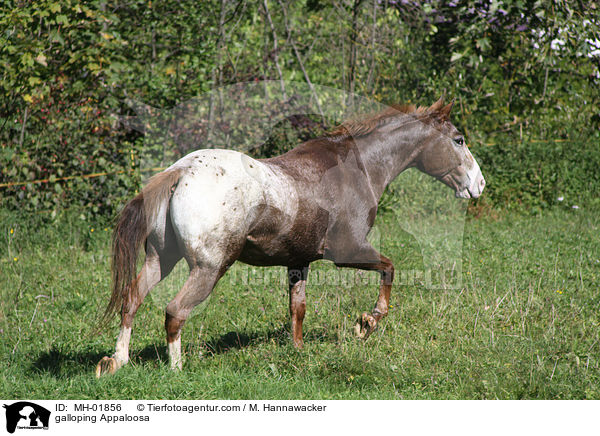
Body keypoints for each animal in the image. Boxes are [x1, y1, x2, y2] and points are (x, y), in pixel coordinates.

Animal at [96, 98, 486, 374]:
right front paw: (367, 322)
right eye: (458, 139)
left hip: (160, 259)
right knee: (175, 311)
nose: (479, 185)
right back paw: (177, 370)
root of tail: (179, 172)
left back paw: (117, 362)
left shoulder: (299, 261)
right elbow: (389, 269)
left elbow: (297, 309)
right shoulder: (347, 251)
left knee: (131, 300)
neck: (358, 169)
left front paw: (298, 351)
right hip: (208, 269)